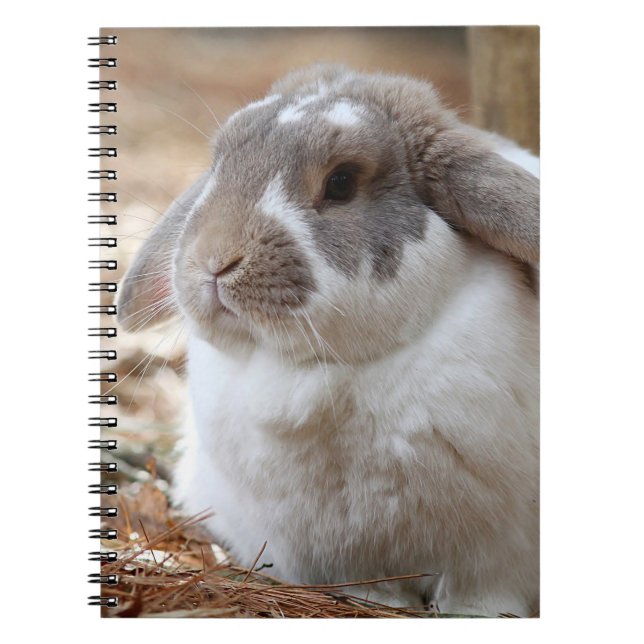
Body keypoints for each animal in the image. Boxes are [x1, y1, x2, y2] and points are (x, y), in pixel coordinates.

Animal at [118, 64, 539, 617]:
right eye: (219, 165)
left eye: (340, 182)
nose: (213, 260)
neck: (317, 371)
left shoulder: (493, 557)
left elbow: (481, 594)